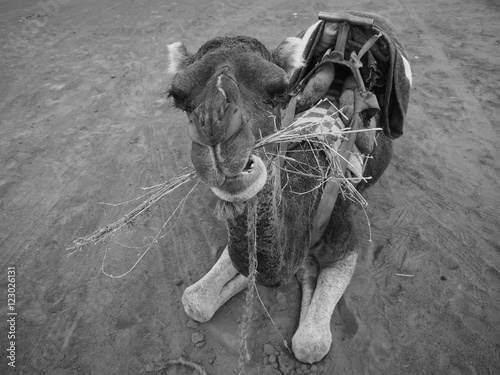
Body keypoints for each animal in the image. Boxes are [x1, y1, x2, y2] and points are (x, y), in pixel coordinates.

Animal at [167, 11, 410, 364]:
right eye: (178, 96)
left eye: (279, 91)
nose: (217, 135)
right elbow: (195, 300)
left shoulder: (346, 244)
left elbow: (309, 344)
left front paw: (304, 276)